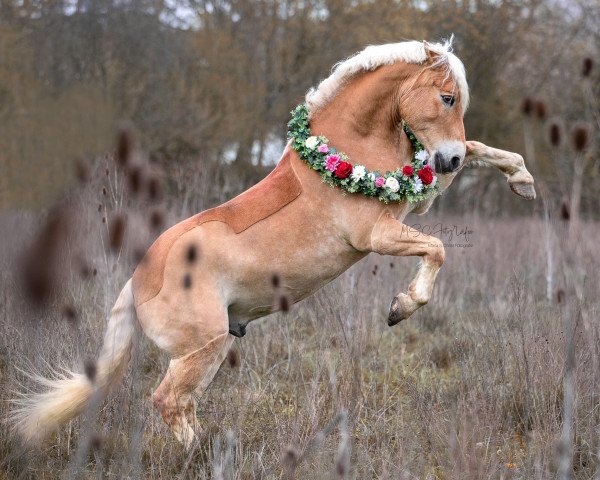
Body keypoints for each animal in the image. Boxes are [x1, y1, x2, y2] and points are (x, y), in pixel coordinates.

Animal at [10, 39, 536, 448]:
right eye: (447, 98)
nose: (447, 159)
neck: (345, 148)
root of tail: (138, 280)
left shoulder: (416, 200)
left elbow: (479, 154)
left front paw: (522, 179)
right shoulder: (380, 233)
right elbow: (437, 250)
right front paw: (401, 307)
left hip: (209, 348)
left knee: (182, 405)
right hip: (202, 348)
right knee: (168, 401)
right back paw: (199, 459)